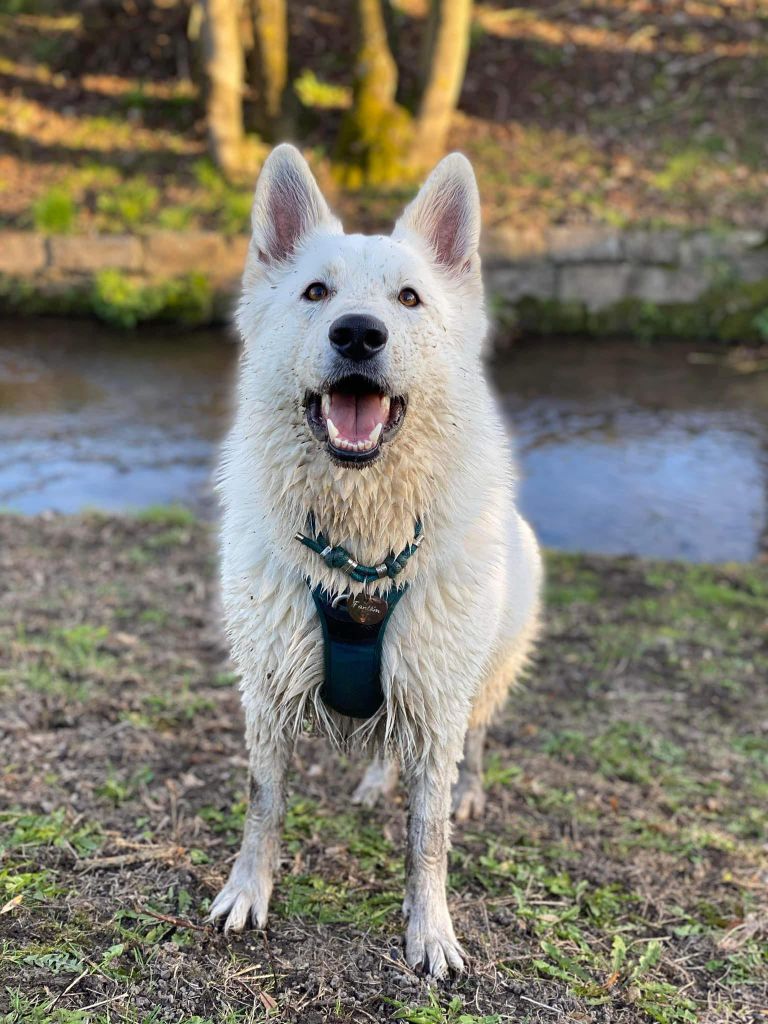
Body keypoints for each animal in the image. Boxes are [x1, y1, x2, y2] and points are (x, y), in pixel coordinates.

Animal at [210, 144, 544, 974]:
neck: (358, 558)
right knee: (391, 745)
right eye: (316, 292)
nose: (358, 334)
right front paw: (248, 892)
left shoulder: (437, 692)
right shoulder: (269, 689)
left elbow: (428, 838)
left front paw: (431, 931)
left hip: (478, 678)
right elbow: (263, 804)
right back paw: (374, 780)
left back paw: (470, 789)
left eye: (410, 298)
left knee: (474, 742)